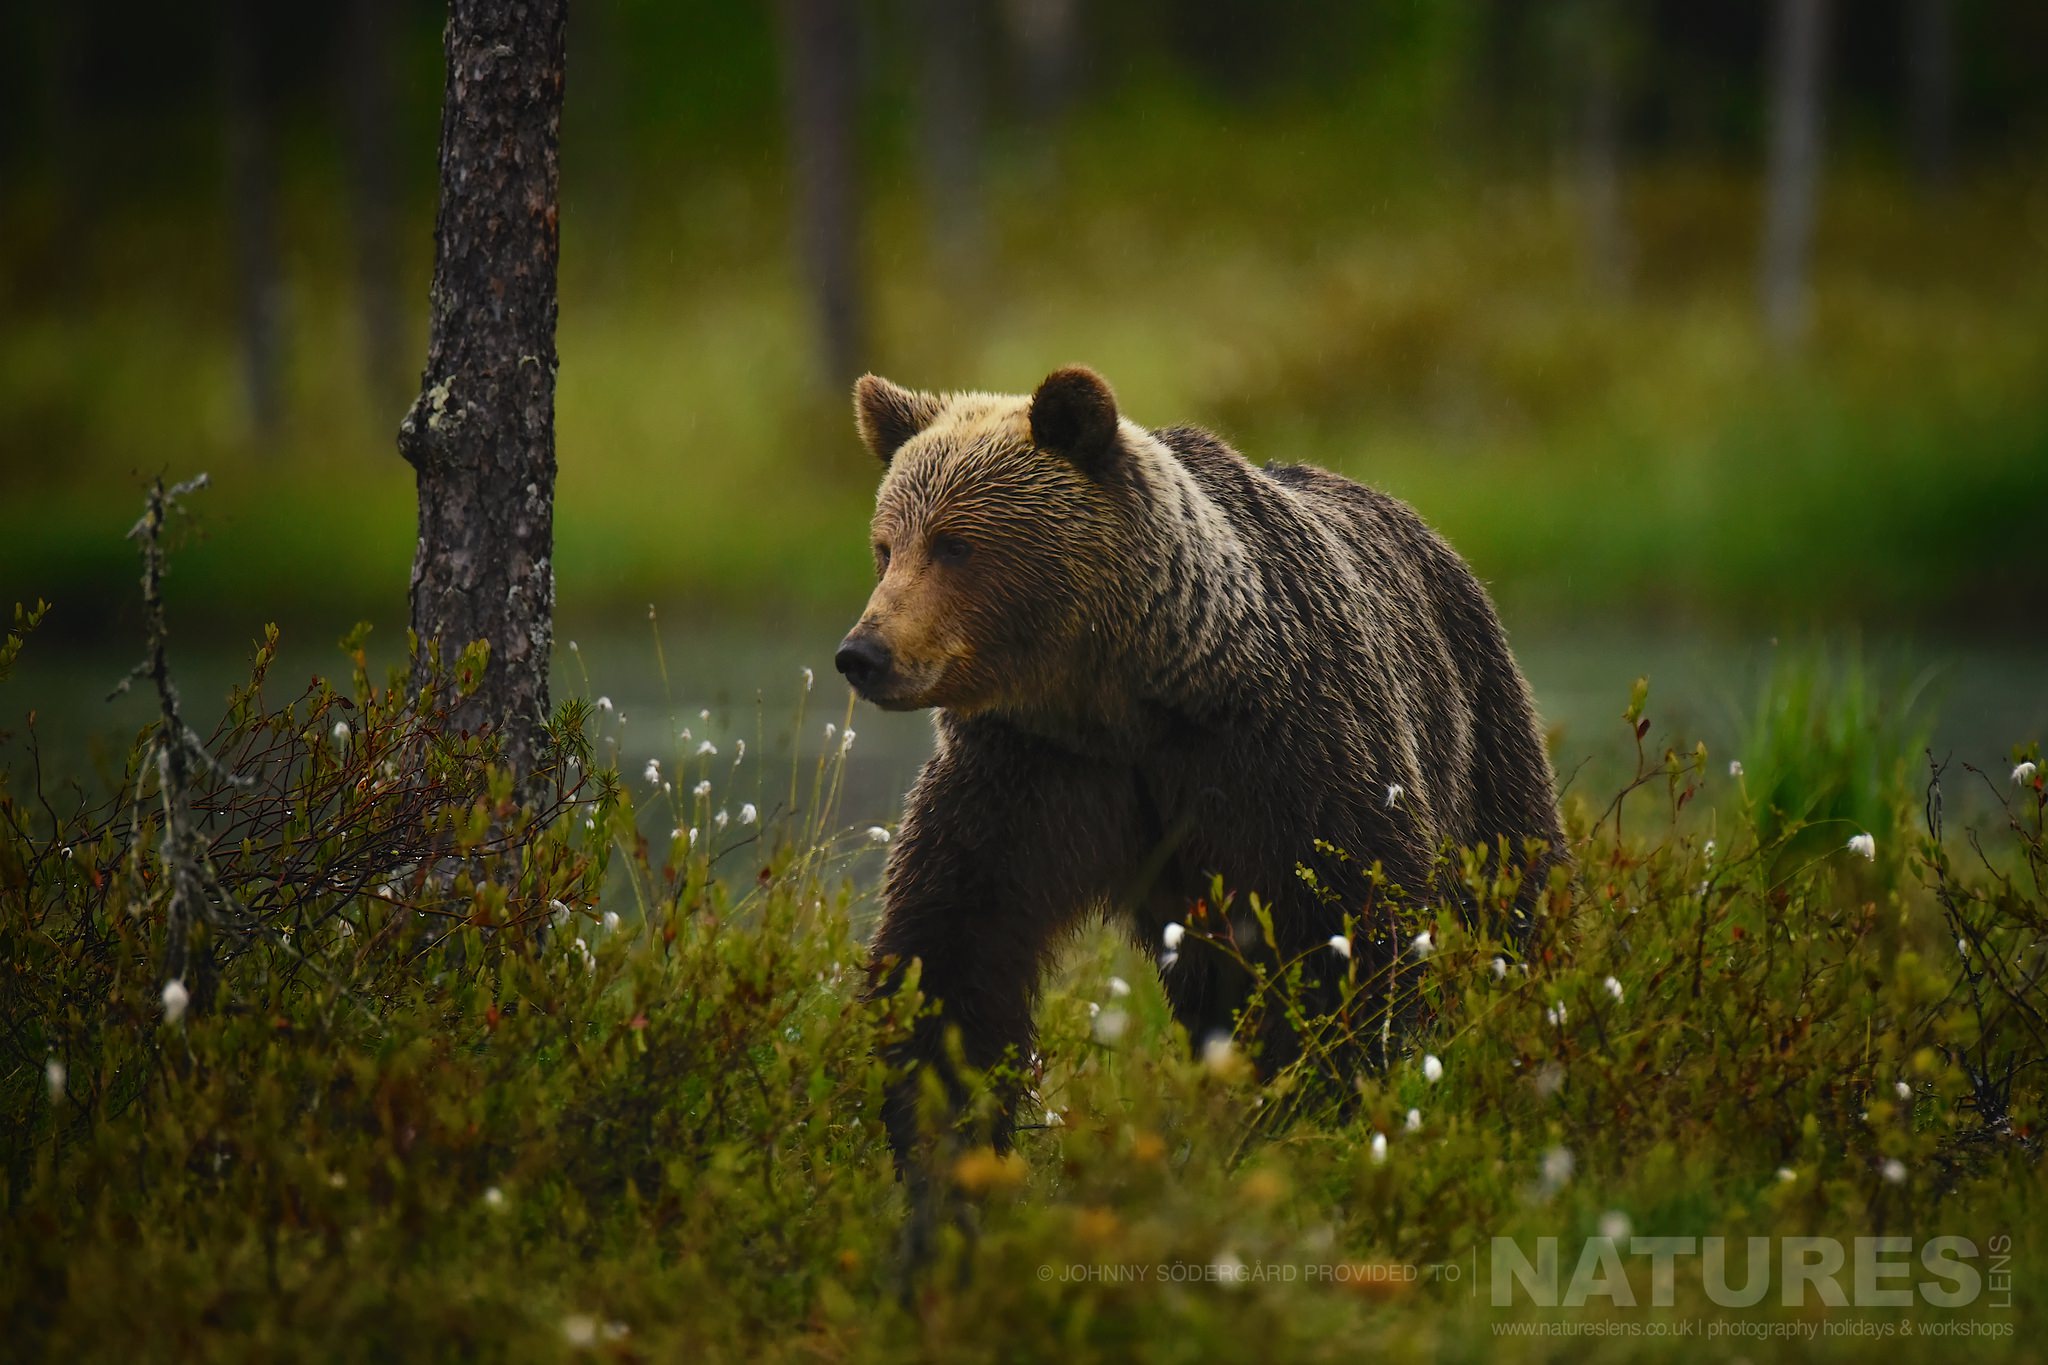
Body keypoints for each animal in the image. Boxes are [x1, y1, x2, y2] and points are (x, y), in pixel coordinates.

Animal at [837, 365, 1562, 1185]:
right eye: (885, 546)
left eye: (954, 544)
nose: (863, 653)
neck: (1127, 692)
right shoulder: (1034, 771)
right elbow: (955, 945)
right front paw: (942, 1130)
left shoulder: (1284, 752)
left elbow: (1345, 927)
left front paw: (1315, 1095)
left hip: (1480, 730)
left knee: (1510, 891)